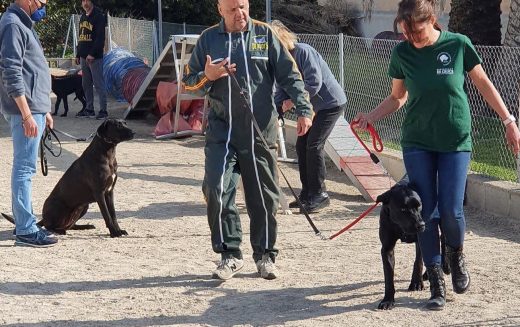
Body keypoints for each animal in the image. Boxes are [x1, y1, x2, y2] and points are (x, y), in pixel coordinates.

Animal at [2, 119, 135, 237]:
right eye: (118, 125)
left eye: (125, 123)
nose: (133, 133)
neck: (108, 153)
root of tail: (44, 217)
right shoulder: (99, 193)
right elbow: (107, 215)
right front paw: (114, 233)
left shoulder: (109, 192)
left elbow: (113, 215)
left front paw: (119, 230)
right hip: (59, 206)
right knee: (49, 226)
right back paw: (59, 231)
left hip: (83, 206)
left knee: (70, 225)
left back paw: (84, 226)